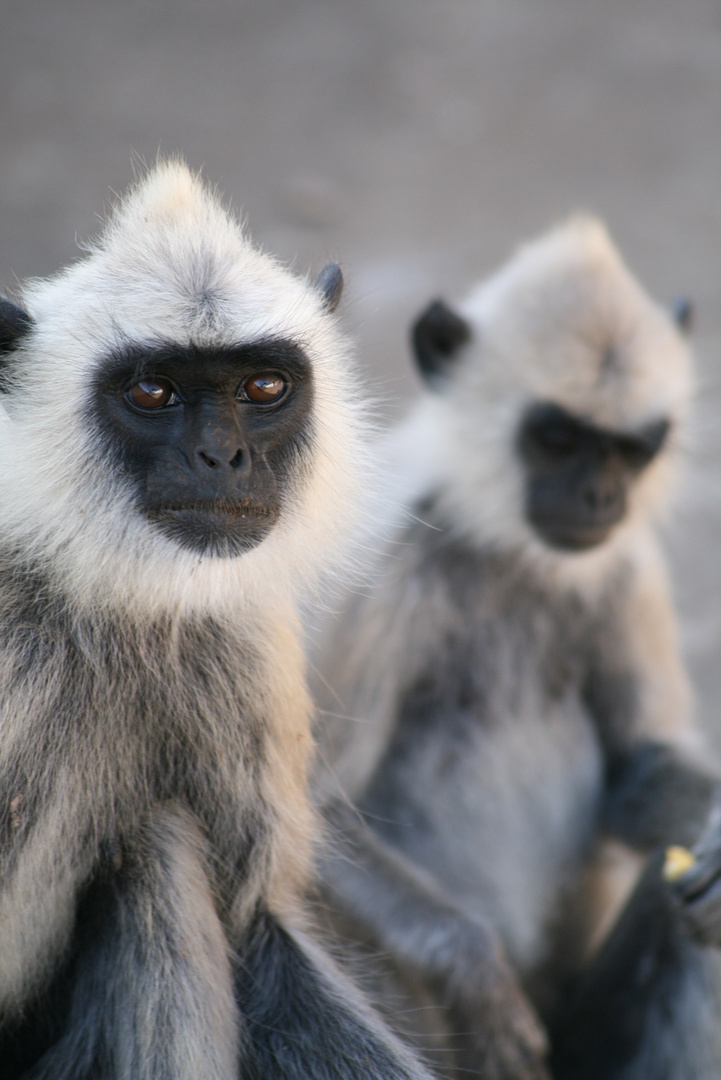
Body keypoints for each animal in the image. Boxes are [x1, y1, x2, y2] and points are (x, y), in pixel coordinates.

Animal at [0, 159, 433, 1080]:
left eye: (263, 386)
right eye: (152, 390)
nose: (221, 457)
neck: (96, 590)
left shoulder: (237, 632)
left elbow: (254, 931)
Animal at [317, 219, 721, 1080]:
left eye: (633, 448)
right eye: (556, 438)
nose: (602, 497)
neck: (506, 548)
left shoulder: (626, 565)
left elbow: (638, 769)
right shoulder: (379, 559)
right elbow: (310, 806)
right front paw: (470, 966)